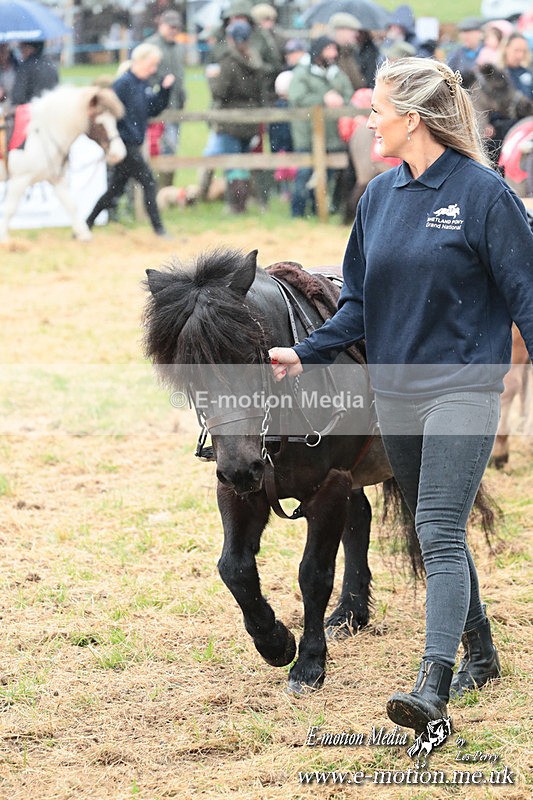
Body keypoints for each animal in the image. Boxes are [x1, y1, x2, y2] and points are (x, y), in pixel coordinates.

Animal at [0, 85, 126, 242]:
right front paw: (4, 237)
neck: (41, 134)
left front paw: (83, 234)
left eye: (114, 121)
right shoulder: (20, 179)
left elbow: (71, 205)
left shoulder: (56, 179)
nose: (119, 153)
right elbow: (10, 209)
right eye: (100, 122)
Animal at [143, 248, 496, 693]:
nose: (241, 466)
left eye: (253, 354)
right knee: (359, 520)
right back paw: (349, 614)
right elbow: (234, 567)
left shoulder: (329, 485)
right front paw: (274, 642)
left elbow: (313, 574)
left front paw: (309, 663)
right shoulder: (239, 489)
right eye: (187, 369)